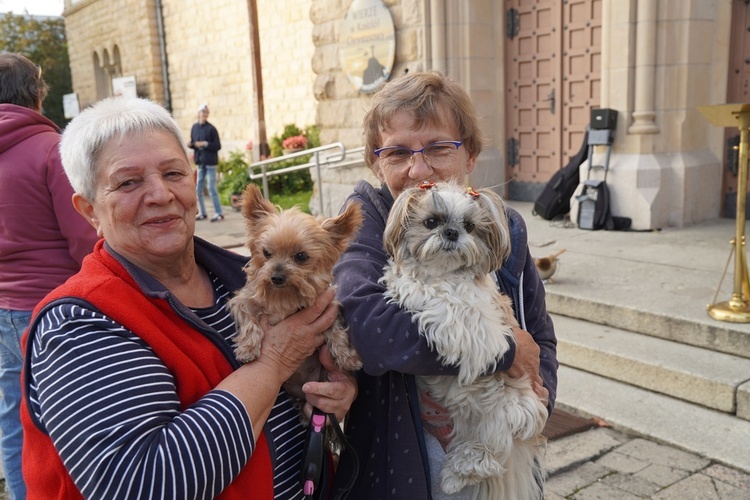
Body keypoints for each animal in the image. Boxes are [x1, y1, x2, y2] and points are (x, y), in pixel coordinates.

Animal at [229, 183, 364, 398]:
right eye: (266, 253)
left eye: (301, 256)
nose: (276, 277)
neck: (284, 298)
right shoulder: (244, 300)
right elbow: (249, 322)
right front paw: (248, 348)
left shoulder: (329, 309)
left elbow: (337, 333)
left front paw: (348, 357)